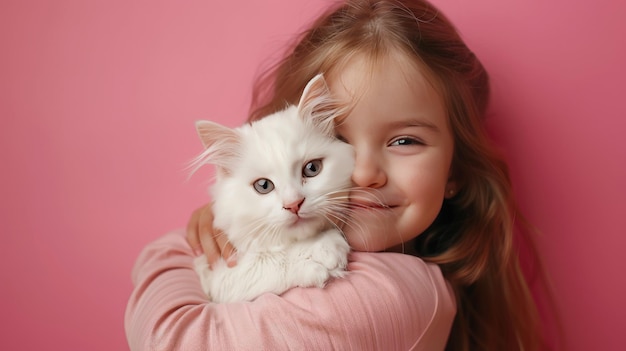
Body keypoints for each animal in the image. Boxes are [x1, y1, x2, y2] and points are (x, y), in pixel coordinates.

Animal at [188, 73, 354, 302]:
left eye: (312, 168)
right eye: (263, 185)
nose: (294, 204)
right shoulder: (221, 274)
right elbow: (270, 261)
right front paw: (321, 254)